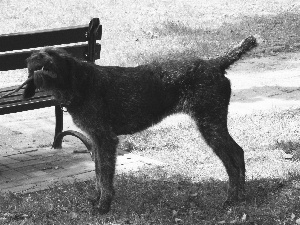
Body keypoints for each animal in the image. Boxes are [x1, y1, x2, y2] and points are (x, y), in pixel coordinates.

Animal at [15, 35, 255, 214]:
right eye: (37, 55)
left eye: (53, 54)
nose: (35, 56)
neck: (80, 82)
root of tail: (215, 63)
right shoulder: (96, 140)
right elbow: (98, 173)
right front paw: (97, 199)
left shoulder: (106, 139)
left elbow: (105, 176)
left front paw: (104, 206)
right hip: (213, 125)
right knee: (237, 154)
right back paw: (240, 196)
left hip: (210, 125)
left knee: (234, 157)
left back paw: (234, 198)